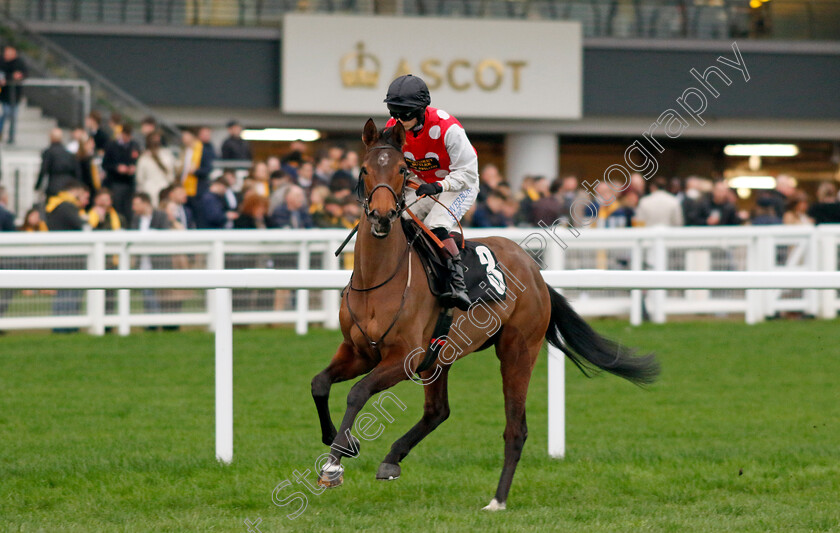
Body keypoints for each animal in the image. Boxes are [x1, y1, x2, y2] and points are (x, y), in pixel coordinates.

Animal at [312, 118, 660, 510]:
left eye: (402, 169)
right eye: (365, 169)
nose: (383, 217)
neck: (379, 279)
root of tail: (535, 272)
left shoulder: (403, 358)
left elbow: (358, 392)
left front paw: (335, 462)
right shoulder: (358, 351)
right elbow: (319, 383)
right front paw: (339, 441)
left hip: (517, 350)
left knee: (515, 428)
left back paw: (498, 499)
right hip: (440, 355)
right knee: (438, 411)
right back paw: (393, 458)